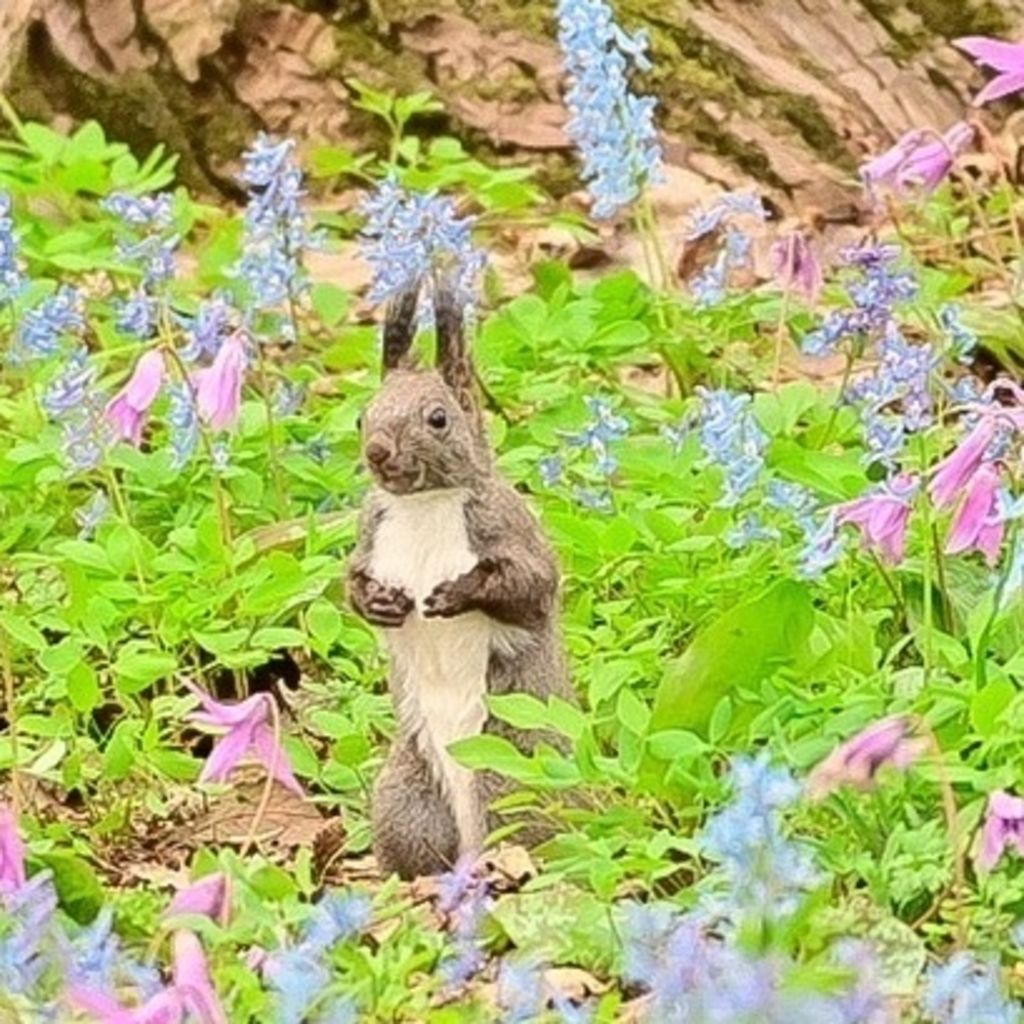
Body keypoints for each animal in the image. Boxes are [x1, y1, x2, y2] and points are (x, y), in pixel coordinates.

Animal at [346, 280, 577, 880]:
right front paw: (379, 603)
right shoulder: (370, 534)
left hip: (509, 773)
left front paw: (456, 593)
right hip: (408, 798)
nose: (378, 452)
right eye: (361, 417)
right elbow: (349, 580)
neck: (425, 505)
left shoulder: (508, 529)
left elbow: (529, 587)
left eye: (438, 419)